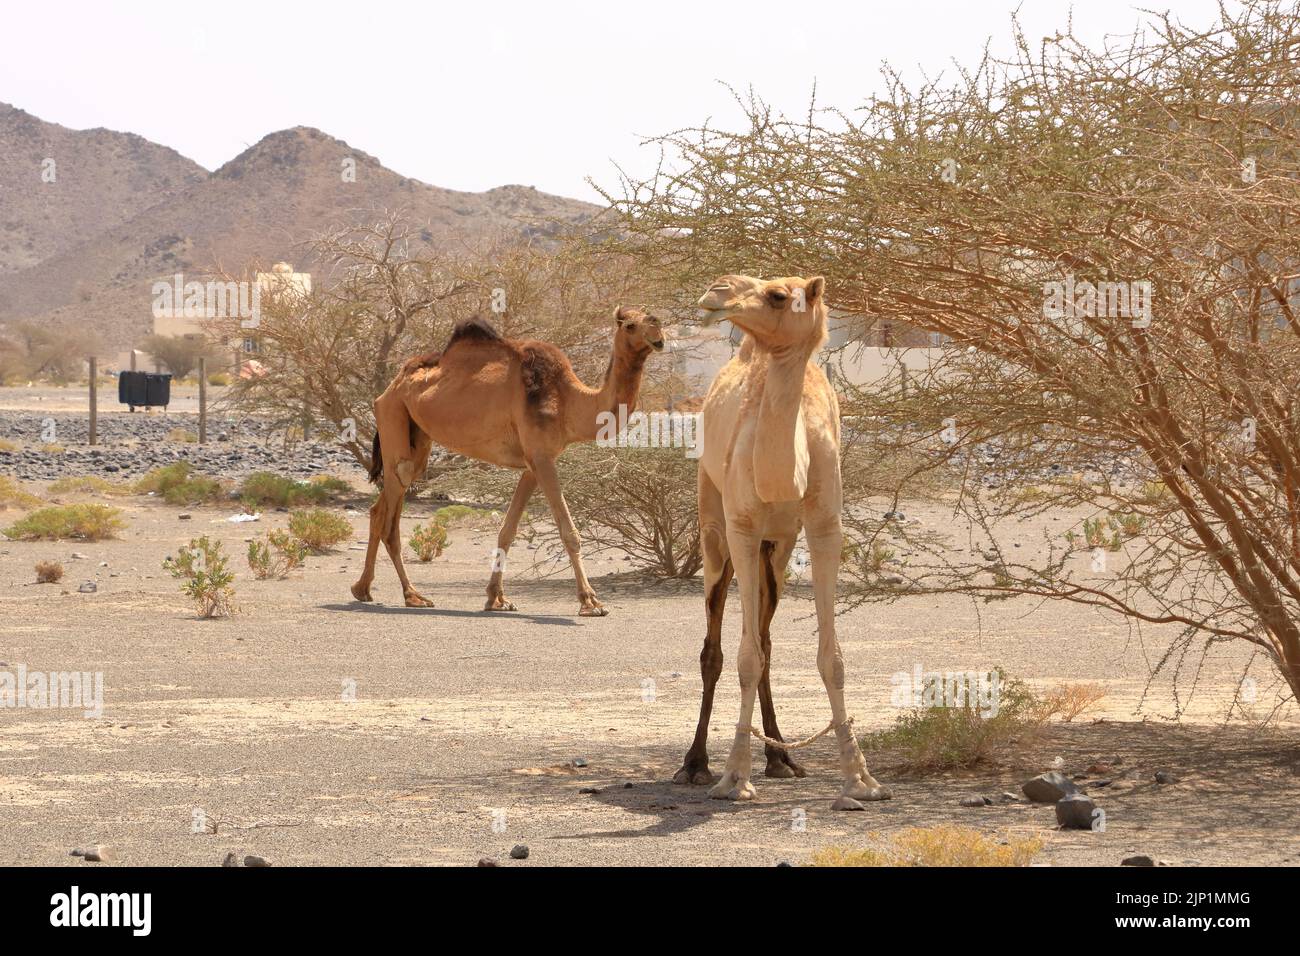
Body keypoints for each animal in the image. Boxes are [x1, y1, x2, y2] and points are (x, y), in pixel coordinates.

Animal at [351, 310, 665, 616]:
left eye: (651, 316)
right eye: (630, 325)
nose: (658, 330)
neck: (567, 400)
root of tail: (390, 387)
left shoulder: (533, 464)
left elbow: (508, 530)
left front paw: (497, 599)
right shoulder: (541, 457)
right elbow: (569, 531)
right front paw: (590, 602)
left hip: (416, 436)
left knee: (383, 509)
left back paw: (376, 590)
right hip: (394, 416)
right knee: (387, 516)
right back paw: (400, 593)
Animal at [676, 274, 889, 806]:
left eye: (776, 295)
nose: (716, 291)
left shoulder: (824, 526)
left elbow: (830, 658)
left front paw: (859, 777)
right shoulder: (743, 527)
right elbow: (744, 658)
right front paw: (734, 777)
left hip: (778, 548)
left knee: (767, 638)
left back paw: (781, 757)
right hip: (714, 525)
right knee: (714, 647)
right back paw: (694, 764)